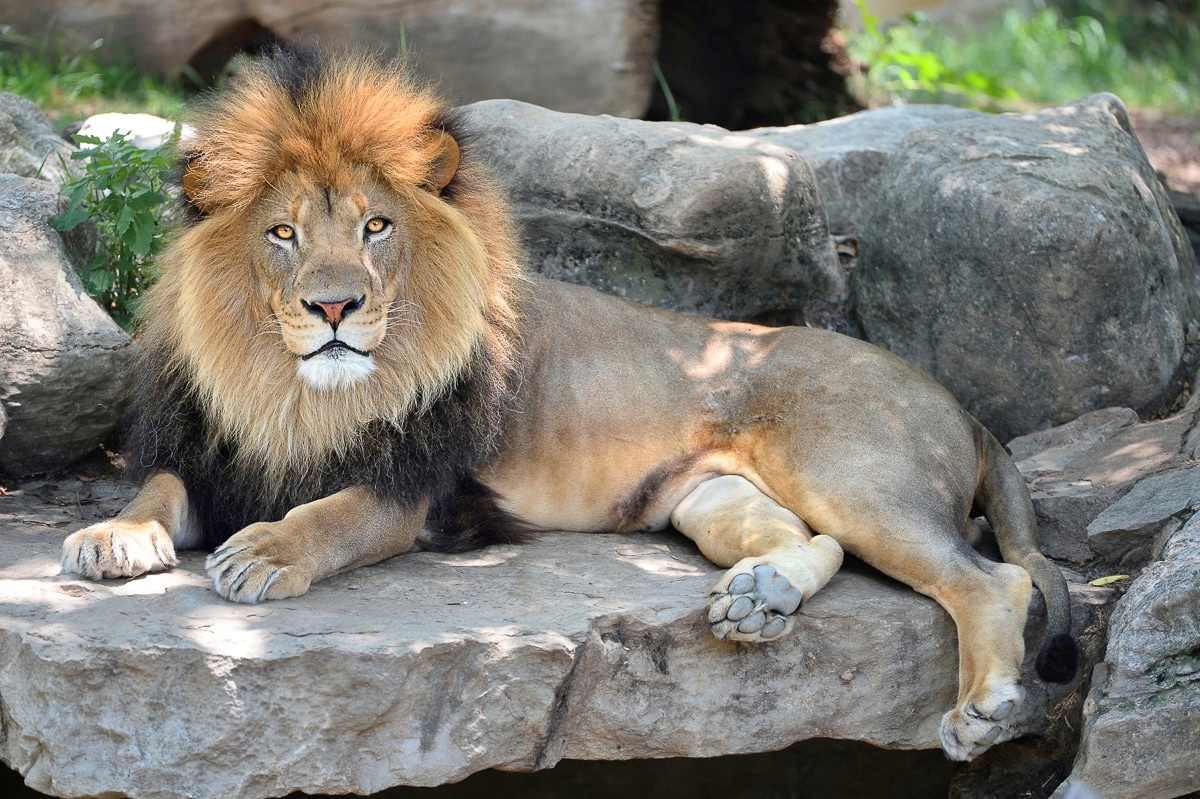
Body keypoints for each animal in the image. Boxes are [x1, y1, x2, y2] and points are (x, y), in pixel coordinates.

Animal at [61, 49, 1077, 761]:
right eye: (282, 233)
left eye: (375, 226)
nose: (335, 307)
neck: (290, 396)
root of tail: (954, 399)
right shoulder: (209, 452)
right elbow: (155, 489)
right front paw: (112, 536)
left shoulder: (421, 492)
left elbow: (333, 514)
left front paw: (266, 552)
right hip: (710, 498)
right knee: (808, 539)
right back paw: (760, 598)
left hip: (851, 471)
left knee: (992, 577)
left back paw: (983, 706)